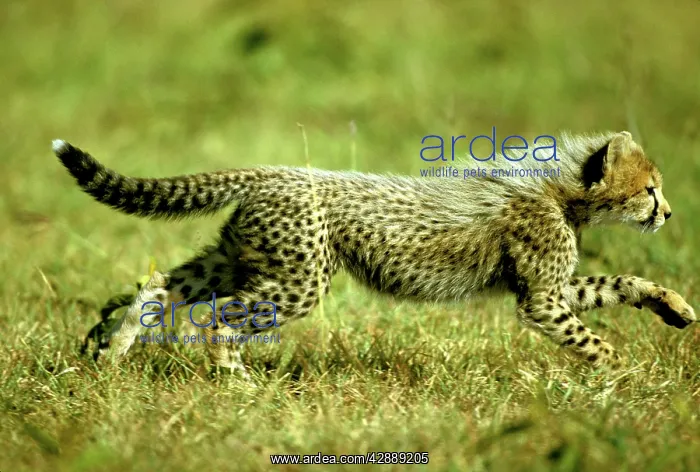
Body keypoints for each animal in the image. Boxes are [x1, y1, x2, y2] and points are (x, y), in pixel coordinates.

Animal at [52, 130, 696, 377]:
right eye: (650, 189)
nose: (667, 213)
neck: (565, 192)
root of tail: (274, 171)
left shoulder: (553, 288)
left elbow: (620, 284)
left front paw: (673, 306)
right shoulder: (540, 298)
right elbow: (592, 337)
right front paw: (622, 375)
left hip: (239, 259)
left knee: (160, 285)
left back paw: (111, 351)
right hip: (297, 281)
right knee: (216, 317)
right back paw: (235, 384)